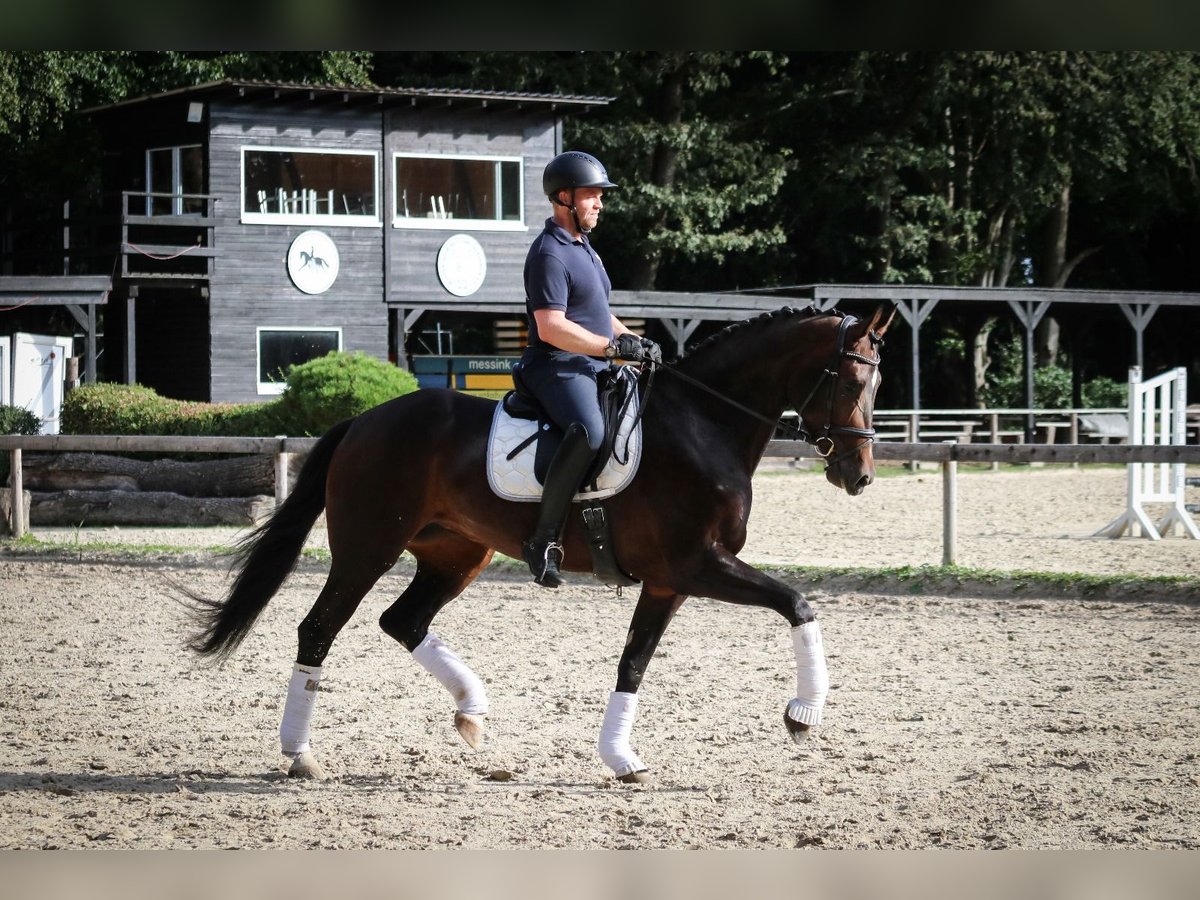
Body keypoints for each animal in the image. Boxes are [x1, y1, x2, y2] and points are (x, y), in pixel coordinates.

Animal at [187, 304, 897, 782]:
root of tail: (363, 420)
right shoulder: (697, 564)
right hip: (367, 549)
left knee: (403, 620)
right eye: (849, 382)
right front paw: (803, 712)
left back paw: (472, 711)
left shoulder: (669, 581)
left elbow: (633, 662)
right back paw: (299, 754)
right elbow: (797, 602)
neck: (703, 425)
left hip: (456, 554)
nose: (859, 474)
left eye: (877, 385)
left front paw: (621, 757)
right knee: (319, 628)